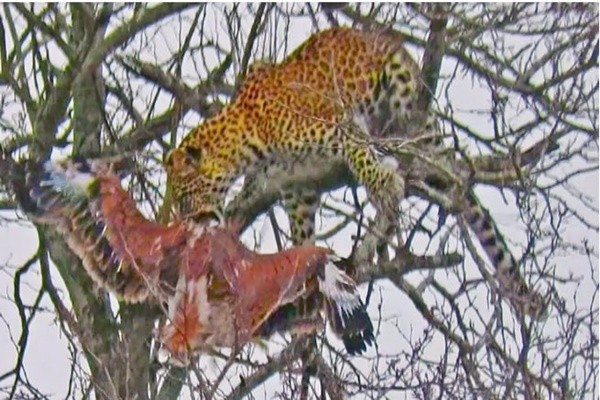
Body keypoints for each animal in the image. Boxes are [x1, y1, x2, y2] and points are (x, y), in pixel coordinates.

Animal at [165, 26, 548, 318]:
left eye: (184, 195)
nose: (186, 220)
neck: (248, 138)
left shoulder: (337, 124)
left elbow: (357, 153)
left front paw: (383, 184)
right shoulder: (298, 190)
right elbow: (302, 235)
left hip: (402, 89)